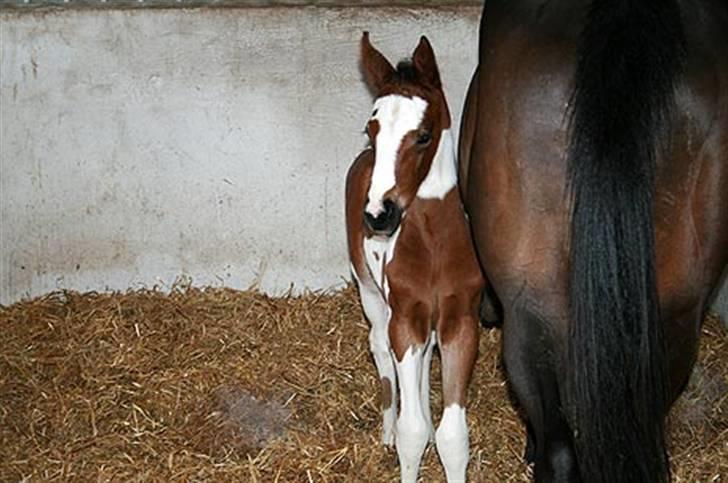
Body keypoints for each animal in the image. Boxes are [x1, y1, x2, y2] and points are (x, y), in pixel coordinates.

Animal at [346, 32, 484, 482]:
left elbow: (452, 437)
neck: (434, 244)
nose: (378, 214)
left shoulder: (460, 321)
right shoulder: (405, 316)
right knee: (381, 348)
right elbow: (414, 432)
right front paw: (401, 437)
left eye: (423, 135)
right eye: (370, 129)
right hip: (372, 293)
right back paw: (386, 430)